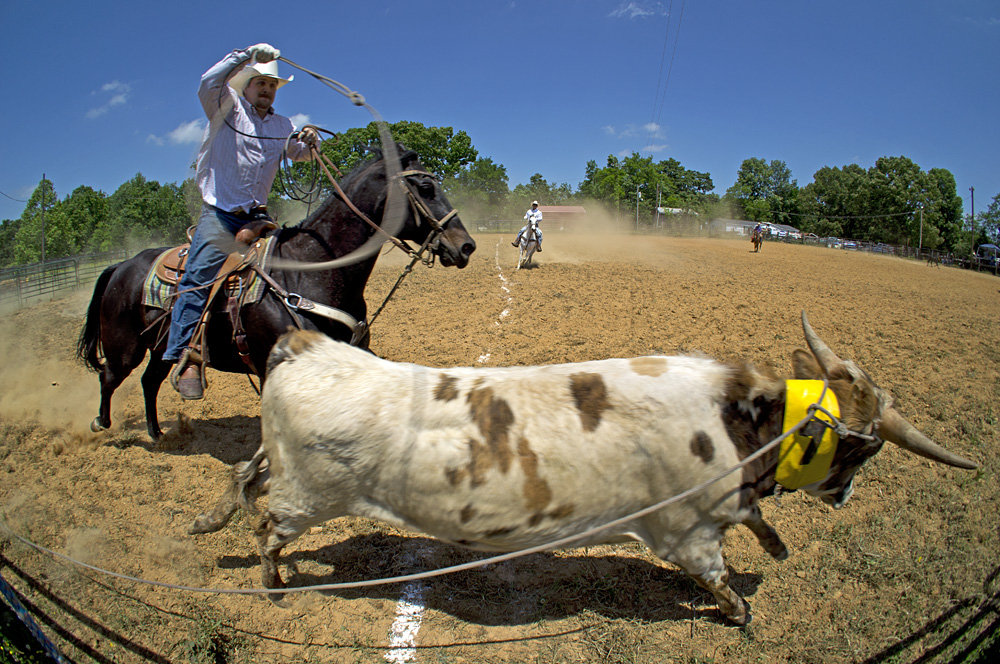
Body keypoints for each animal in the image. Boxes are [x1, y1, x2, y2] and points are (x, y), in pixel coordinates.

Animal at [76, 148, 474, 444]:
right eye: (425, 186)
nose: (466, 245)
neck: (308, 271)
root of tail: (123, 265)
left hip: (159, 348)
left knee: (149, 381)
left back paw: (158, 434)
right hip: (124, 347)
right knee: (110, 377)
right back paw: (101, 425)